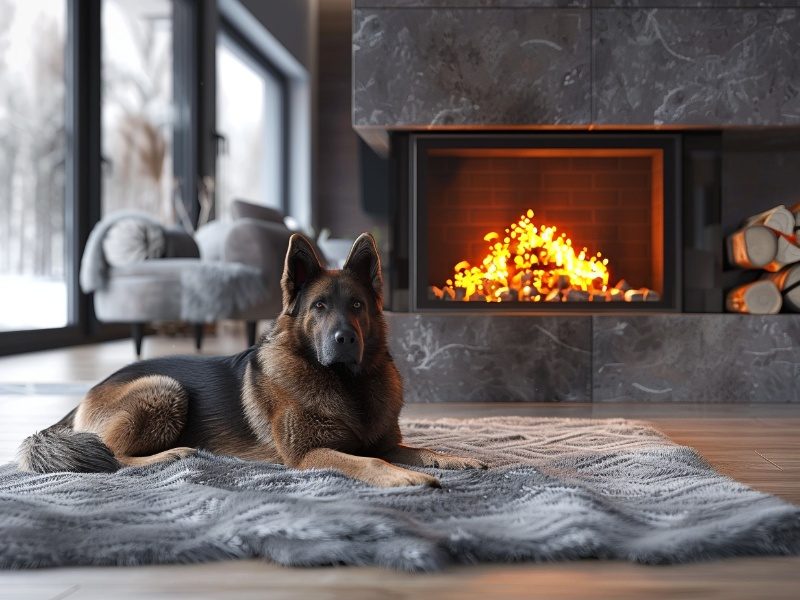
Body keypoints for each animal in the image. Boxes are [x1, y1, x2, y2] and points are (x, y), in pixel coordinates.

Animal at [18, 234, 484, 488]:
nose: (345, 339)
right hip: (164, 388)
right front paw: (403, 477)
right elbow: (369, 461)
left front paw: (453, 457)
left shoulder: (387, 441)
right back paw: (170, 455)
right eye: (318, 307)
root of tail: (83, 397)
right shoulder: (309, 455)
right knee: (110, 455)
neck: (345, 383)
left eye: (356, 305)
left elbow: (418, 448)